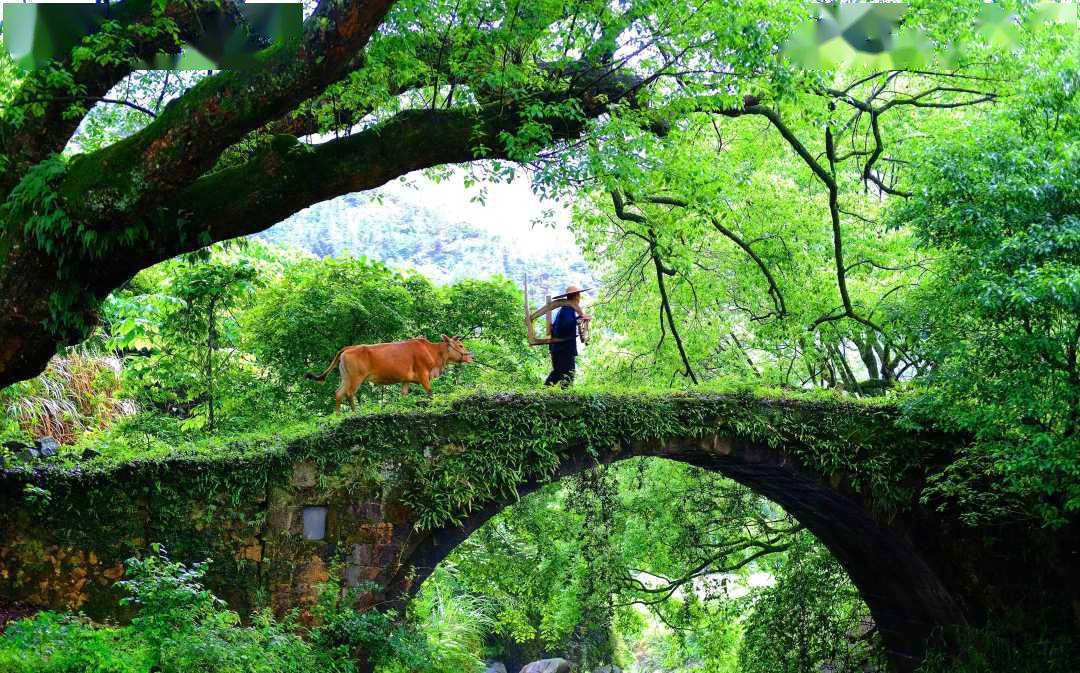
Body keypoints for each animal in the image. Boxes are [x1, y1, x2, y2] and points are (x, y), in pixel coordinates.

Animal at [304, 334, 473, 410]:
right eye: (460, 345)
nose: (472, 356)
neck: (433, 352)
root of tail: (347, 348)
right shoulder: (423, 374)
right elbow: (430, 392)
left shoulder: (406, 379)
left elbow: (404, 396)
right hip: (356, 377)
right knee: (349, 393)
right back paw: (354, 412)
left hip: (346, 377)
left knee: (338, 393)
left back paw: (338, 415)